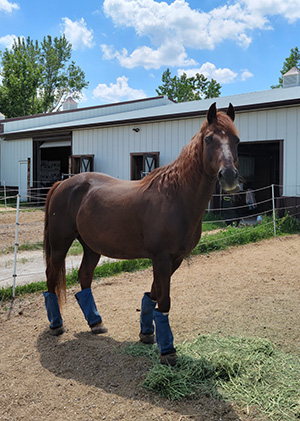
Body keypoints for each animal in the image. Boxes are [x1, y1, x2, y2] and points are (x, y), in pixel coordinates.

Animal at [42, 102, 239, 364]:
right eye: (209, 139)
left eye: (236, 140)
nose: (229, 176)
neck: (176, 195)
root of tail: (62, 184)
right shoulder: (162, 258)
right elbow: (163, 301)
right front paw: (168, 351)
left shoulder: (174, 259)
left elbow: (152, 295)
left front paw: (147, 334)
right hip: (60, 243)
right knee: (52, 276)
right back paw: (56, 325)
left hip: (92, 247)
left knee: (84, 276)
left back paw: (96, 323)